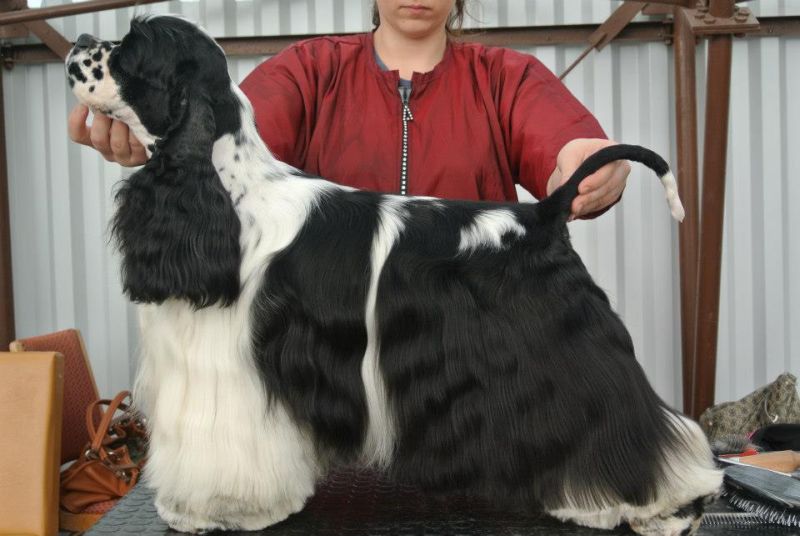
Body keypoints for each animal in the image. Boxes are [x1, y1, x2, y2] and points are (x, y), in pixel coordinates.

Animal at [66, 15, 722, 535]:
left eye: (129, 49)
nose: (79, 41)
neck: (227, 192)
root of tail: (544, 213)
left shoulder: (231, 368)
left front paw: (215, 512)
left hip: (566, 354)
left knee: (636, 423)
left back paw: (659, 509)